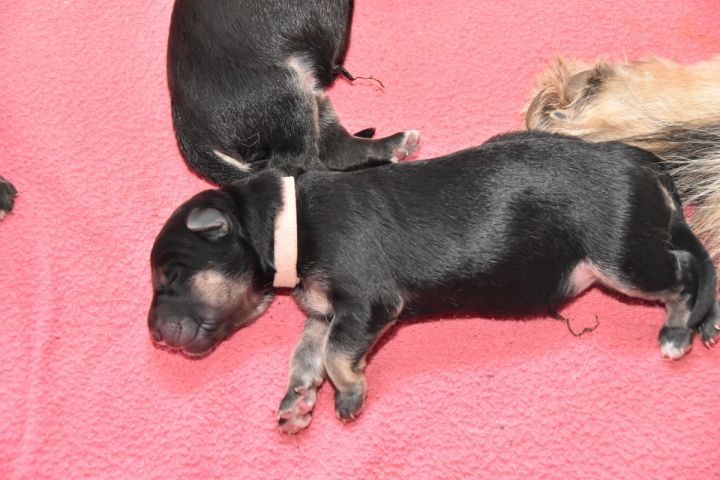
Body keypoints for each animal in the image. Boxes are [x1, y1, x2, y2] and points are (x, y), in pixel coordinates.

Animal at [148, 131, 720, 434]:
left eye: (170, 276)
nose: (153, 335)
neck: (287, 219)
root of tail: (641, 160)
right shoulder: (327, 313)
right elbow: (307, 352)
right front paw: (297, 401)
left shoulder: (368, 303)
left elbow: (335, 355)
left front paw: (349, 395)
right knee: (696, 261)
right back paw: (704, 324)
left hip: (620, 256)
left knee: (685, 272)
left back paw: (677, 332)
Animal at [168, 0, 420, 185]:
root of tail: (190, 135)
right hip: (287, 91)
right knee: (305, 166)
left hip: (311, 96)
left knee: (338, 149)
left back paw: (397, 146)